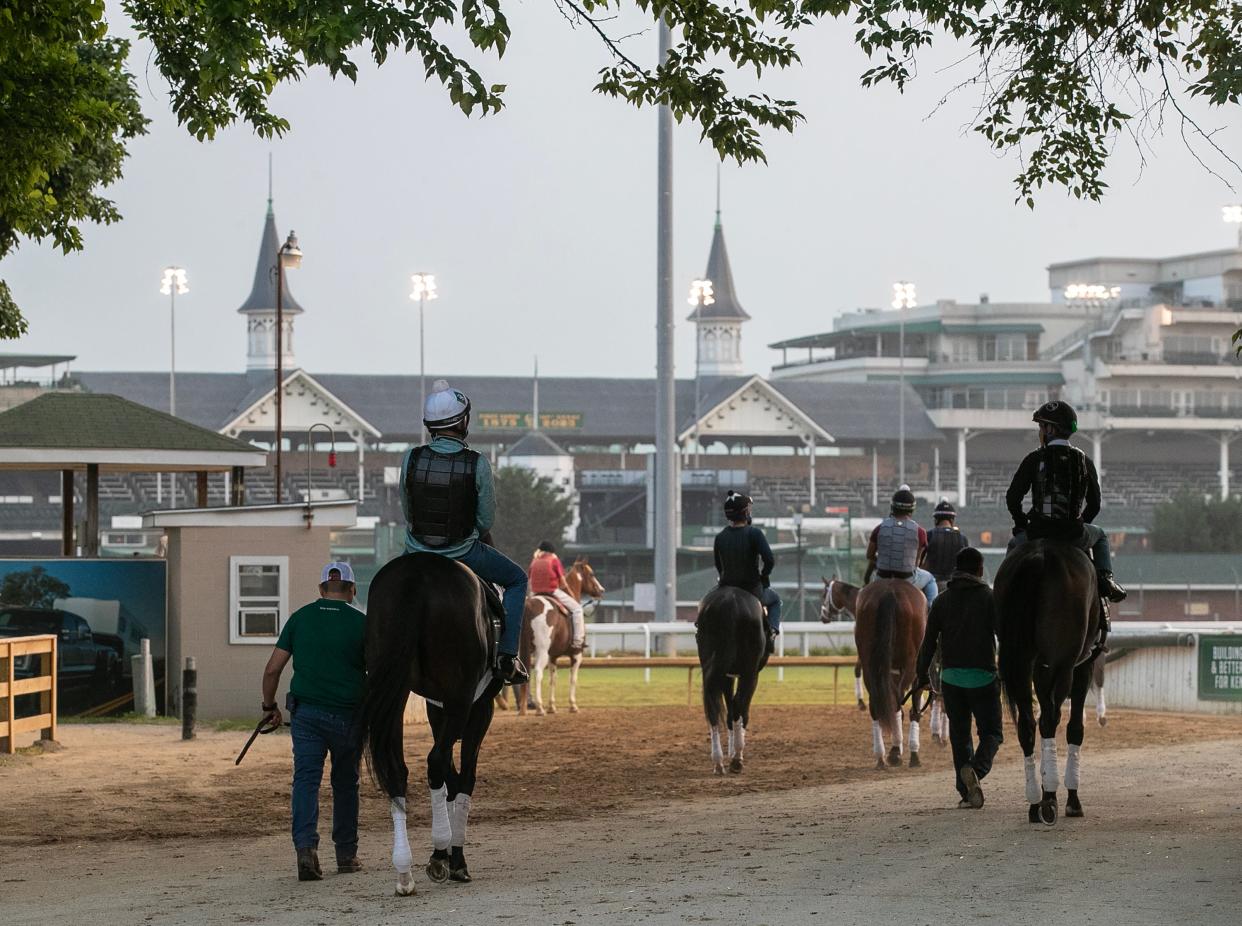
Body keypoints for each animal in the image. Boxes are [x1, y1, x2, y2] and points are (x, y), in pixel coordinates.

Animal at [360, 551, 504, 888]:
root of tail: (417, 574)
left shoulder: (436, 709)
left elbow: (451, 778)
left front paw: (448, 853)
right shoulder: (478, 708)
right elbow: (463, 778)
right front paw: (455, 858)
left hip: (394, 689)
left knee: (398, 770)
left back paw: (404, 870)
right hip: (460, 698)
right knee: (435, 762)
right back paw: (439, 852)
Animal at [516, 556, 608, 714]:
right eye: (591, 574)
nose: (601, 590)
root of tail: (528, 605)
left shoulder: (553, 656)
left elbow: (553, 678)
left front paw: (552, 706)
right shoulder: (577, 655)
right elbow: (573, 678)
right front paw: (573, 705)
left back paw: (524, 709)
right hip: (541, 651)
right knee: (538, 672)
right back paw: (539, 708)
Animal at [700, 583, 765, 769]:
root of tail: (730, 602)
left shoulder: (727, 675)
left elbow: (728, 708)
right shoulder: (750, 674)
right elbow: (741, 709)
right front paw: (736, 752)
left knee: (713, 709)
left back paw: (718, 761)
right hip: (750, 672)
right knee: (739, 704)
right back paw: (737, 758)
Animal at [854, 575, 933, 764]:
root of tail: (889, 592)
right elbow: (914, 708)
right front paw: (913, 752)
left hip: (869, 663)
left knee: (876, 703)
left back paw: (880, 756)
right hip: (910, 664)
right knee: (897, 701)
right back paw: (896, 751)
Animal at [993, 533, 1102, 824]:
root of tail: (1038, 557)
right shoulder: (1083, 666)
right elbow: (1075, 727)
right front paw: (1071, 799)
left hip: (1022, 663)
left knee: (1027, 725)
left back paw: (1034, 801)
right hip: (1058, 664)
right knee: (1049, 720)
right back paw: (1050, 797)